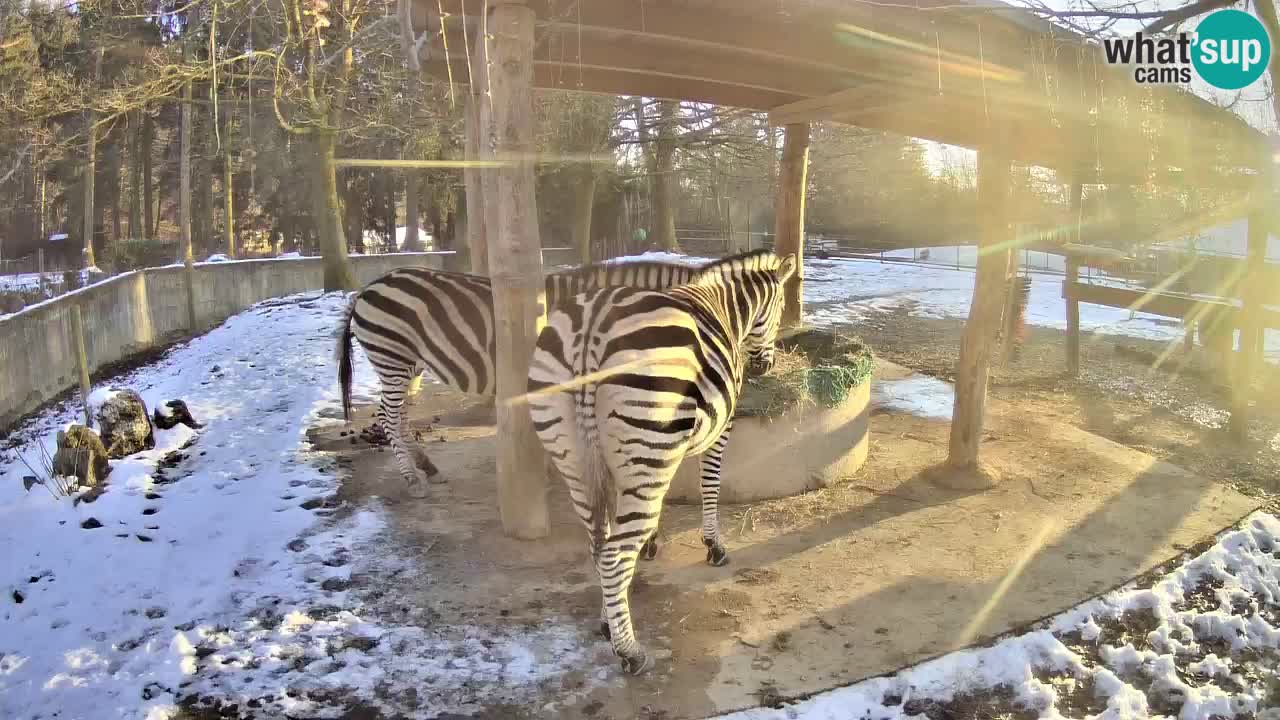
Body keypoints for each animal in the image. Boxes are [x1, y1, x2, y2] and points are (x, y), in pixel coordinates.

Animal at [524, 248, 793, 671]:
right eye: (781, 306)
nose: (766, 366)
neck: (722, 305)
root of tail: (591, 327)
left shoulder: (642, 455)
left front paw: (650, 543)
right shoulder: (718, 429)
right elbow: (710, 485)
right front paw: (714, 546)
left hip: (575, 456)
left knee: (599, 545)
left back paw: (609, 621)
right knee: (613, 555)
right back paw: (630, 652)